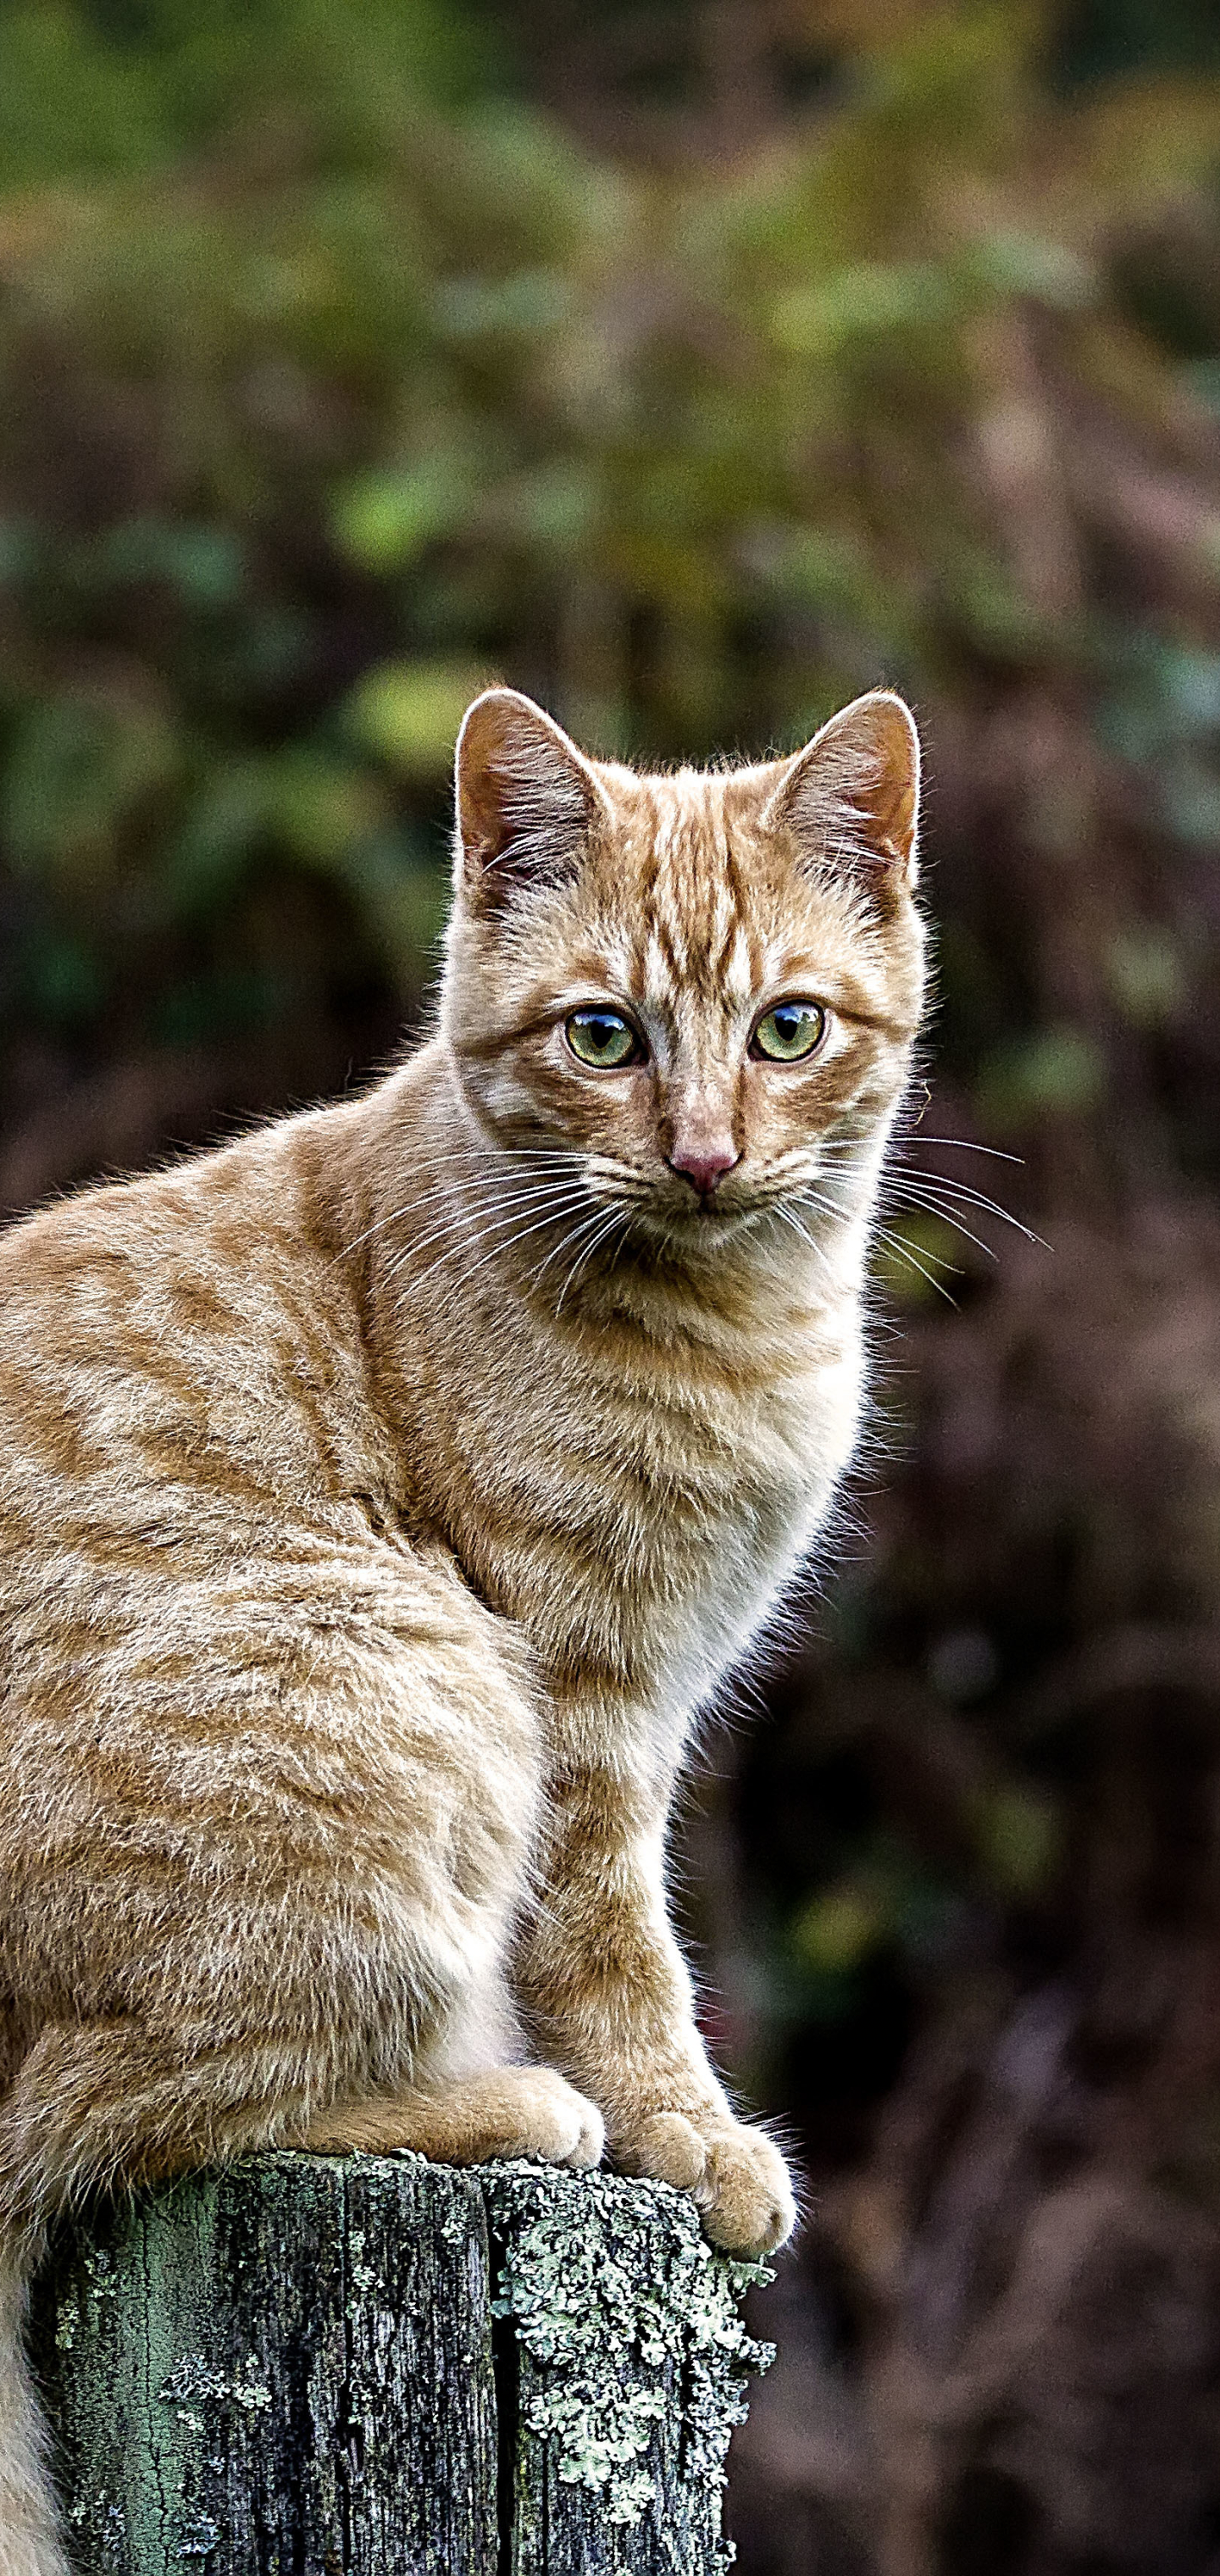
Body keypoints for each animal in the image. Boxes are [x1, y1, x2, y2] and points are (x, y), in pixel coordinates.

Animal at [0, 685, 921, 2576]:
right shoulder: (583, 1693)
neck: (739, 1322)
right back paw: (505, 2106)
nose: (705, 1152)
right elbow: (618, 1954)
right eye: (605, 1035)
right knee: (95, 2116)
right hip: (411, 1685)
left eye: (788, 1029)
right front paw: (684, 2132)